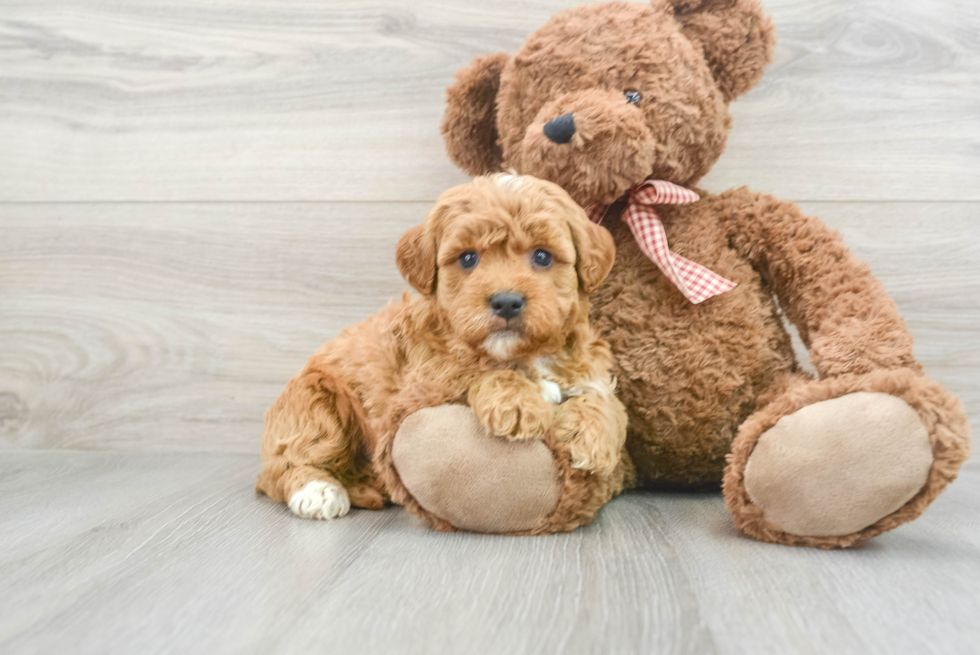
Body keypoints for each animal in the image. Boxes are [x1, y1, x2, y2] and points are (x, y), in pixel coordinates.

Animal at [258, 174, 628, 524]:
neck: (523, 355)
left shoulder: (587, 366)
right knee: (286, 466)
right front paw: (517, 402)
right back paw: (319, 492)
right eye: (467, 258)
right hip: (315, 406)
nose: (507, 302)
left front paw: (591, 435)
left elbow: (604, 399)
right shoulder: (426, 375)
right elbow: (472, 369)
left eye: (542, 256)